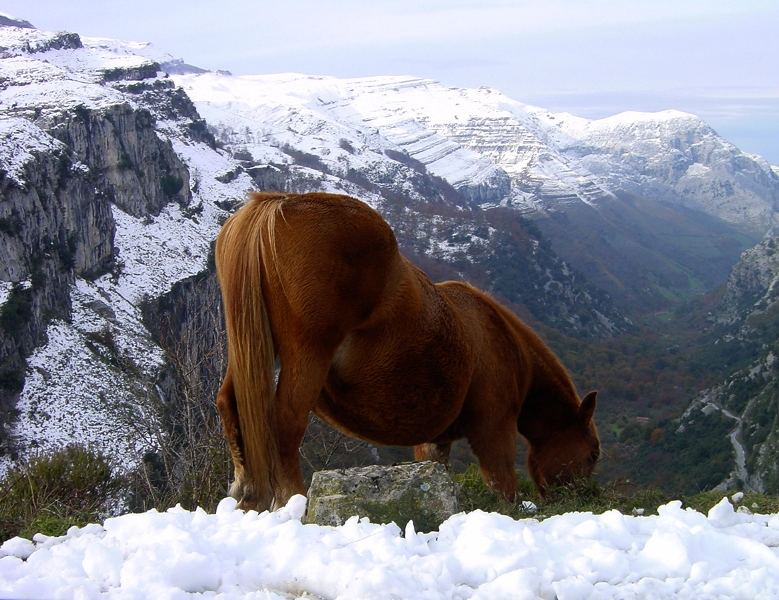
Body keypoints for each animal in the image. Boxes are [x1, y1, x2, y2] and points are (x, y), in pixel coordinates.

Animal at [213, 192, 604, 510]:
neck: (498, 336)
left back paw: (248, 495)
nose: (587, 498)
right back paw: (293, 501)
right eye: (593, 454)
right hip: (306, 357)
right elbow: (503, 488)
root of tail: (279, 203)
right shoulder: (494, 429)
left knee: (231, 405)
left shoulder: (434, 442)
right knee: (284, 423)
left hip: (250, 351)